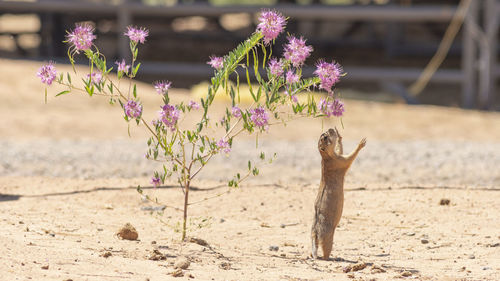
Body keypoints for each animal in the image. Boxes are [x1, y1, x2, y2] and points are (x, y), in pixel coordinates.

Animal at [310, 128, 366, 260]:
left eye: (325, 132)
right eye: (325, 137)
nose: (330, 129)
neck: (326, 157)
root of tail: (315, 232)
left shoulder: (337, 156)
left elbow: (340, 150)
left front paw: (339, 136)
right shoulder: (339, 161)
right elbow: (349, 158)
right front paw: (361, 143)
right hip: (328, 237)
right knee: (325, 252)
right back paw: (332, 257)